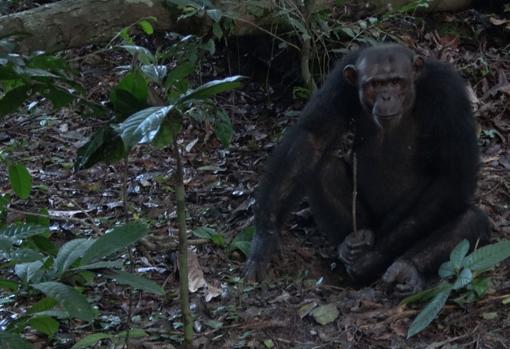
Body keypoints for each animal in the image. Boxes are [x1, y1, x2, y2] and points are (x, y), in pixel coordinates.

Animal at [245, 44, 492, 294]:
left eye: (396, 82)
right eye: (375, 84)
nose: (386, 96)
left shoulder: (448, 93)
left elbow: (453, 175)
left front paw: (372, 259)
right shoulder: (339, 83)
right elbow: (312, 138)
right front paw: (265, 237)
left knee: (470, 219)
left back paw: (406, 267)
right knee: (325, 168)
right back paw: (351, 243)